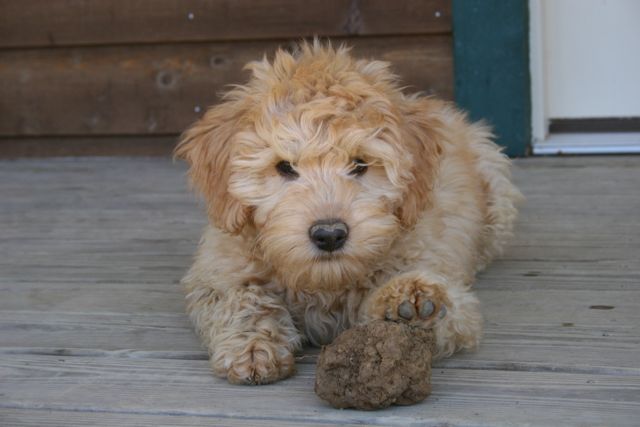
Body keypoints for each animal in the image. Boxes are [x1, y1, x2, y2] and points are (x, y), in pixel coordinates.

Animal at [174, 41, 520, 386]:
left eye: (360, 163)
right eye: (285, 166)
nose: (329, 235)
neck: (325, 285)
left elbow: (450, 308)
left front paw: (412, 304)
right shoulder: (218, 269)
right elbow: (240, 298)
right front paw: (254, 346)